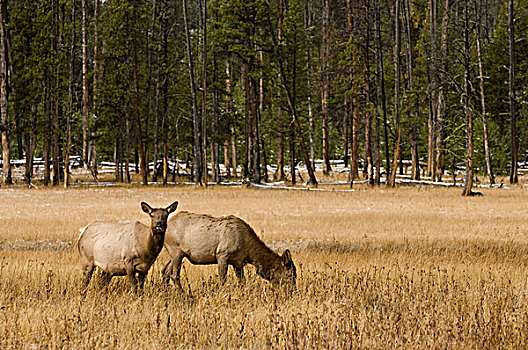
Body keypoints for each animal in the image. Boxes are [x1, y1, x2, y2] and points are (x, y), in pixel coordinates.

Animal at [163, 212, 294, 292]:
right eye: (289, 275)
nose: (293, 291)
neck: (248, 251)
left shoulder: (238, 263)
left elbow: (242, 282)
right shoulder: (222, 255)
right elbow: (223, 279)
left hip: (174, 254)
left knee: (165, 271)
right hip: (176, 251)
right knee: (174, 274)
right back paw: (184, 293)